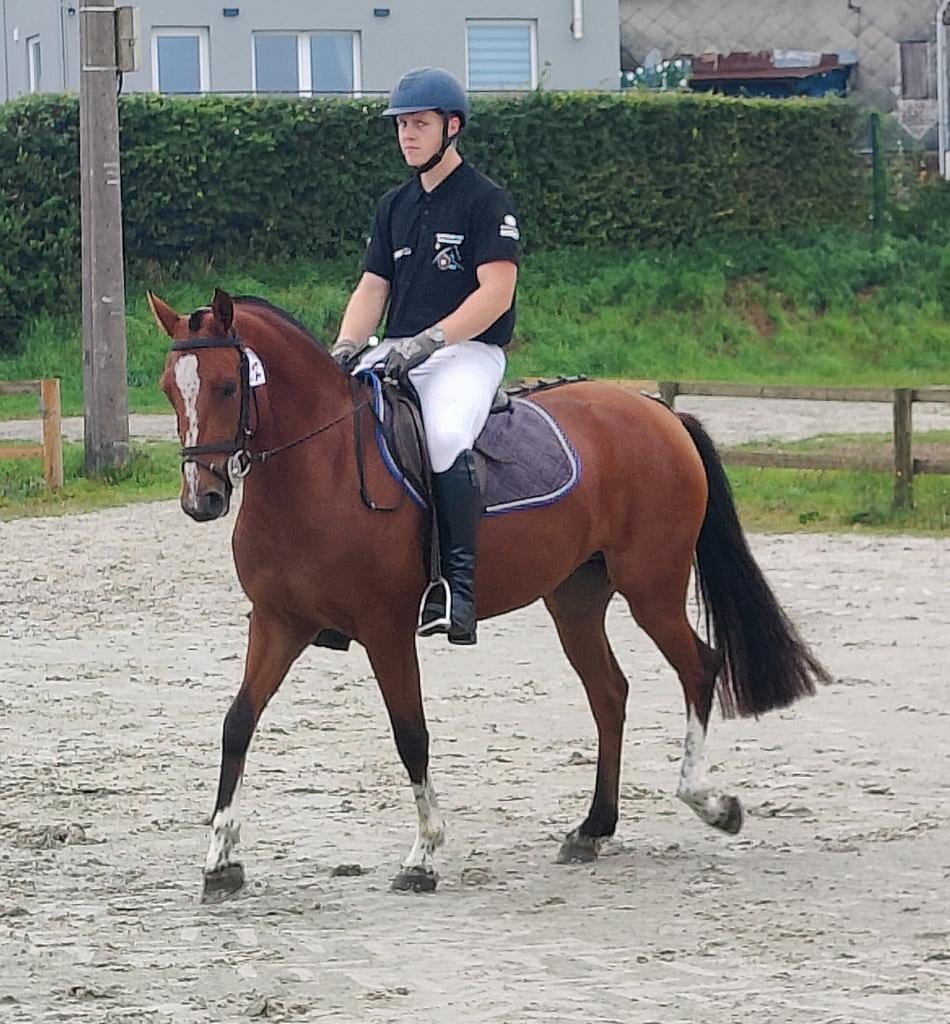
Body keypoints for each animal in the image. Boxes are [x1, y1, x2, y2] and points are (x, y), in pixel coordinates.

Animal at [149, 287, 831, 900]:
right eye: (167, 388)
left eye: (227, 387)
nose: (202, 499)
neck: (321, 468)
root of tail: (658, 412)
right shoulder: (276, 622)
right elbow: (237, 723)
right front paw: (221, 862)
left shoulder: (385, 628)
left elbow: (411, 733)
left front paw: (423, 857)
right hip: (575, 599)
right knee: (609, 693)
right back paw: (592, 829)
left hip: (652, 588)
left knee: (699, 667)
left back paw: (710, 804)